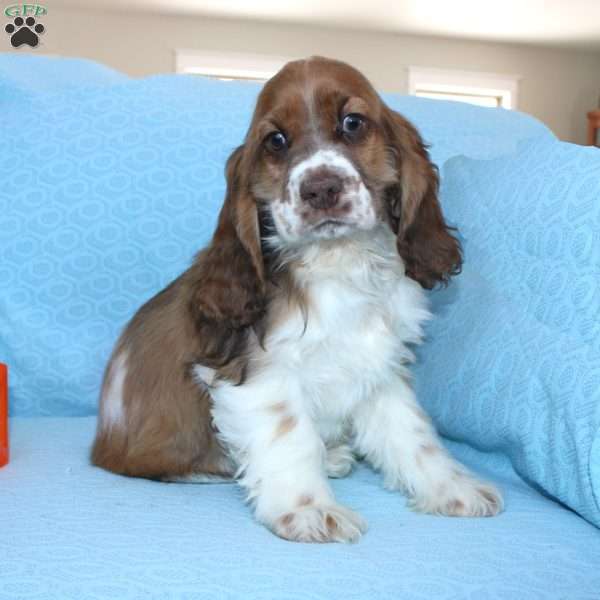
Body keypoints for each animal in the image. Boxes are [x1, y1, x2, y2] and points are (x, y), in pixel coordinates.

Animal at [92, 57, 502, 544]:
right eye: (276, 141)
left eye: (352, 123)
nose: (321, 188)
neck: (338, 261)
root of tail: (100, 445)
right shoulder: (260, 374)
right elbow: (290, 436)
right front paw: (309, 510)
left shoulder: (378, 369)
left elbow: (413, 435)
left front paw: (453, 489)